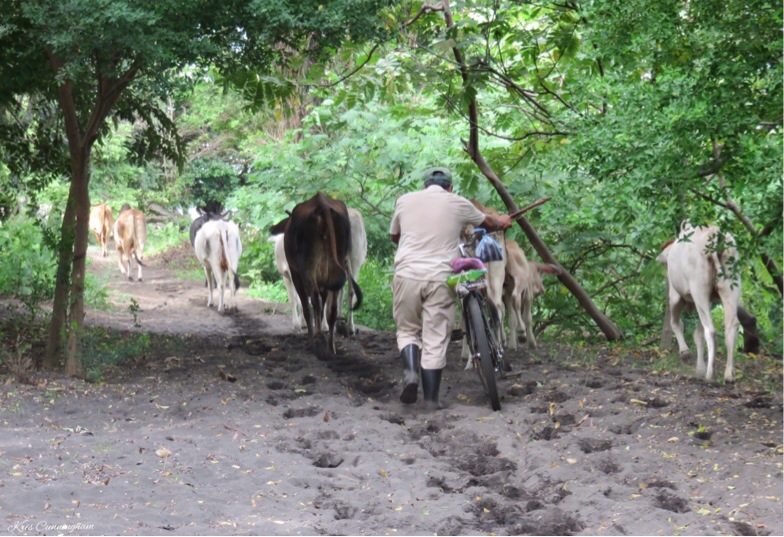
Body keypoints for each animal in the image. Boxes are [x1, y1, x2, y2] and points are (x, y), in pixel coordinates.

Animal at [268, 193, 363, 358]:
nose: (273, 229)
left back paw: (316, 341)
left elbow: (302, 304)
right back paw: (332, 344)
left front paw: (302, 328)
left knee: (314, 301)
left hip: (308, 268)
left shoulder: (293, 274)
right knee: (336, 303)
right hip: (342, 263)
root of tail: (322, 204)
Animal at [657, 221, 742, 383]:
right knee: (731, 326)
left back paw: (710, 374)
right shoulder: (709, 300)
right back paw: (729, 374)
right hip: (730, 287)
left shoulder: (676, 295)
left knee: (711, 330)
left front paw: (685, 353)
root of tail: (715, 233)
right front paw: (699, 368)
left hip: (698, 290)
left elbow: (676, 323)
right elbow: (698, 333)